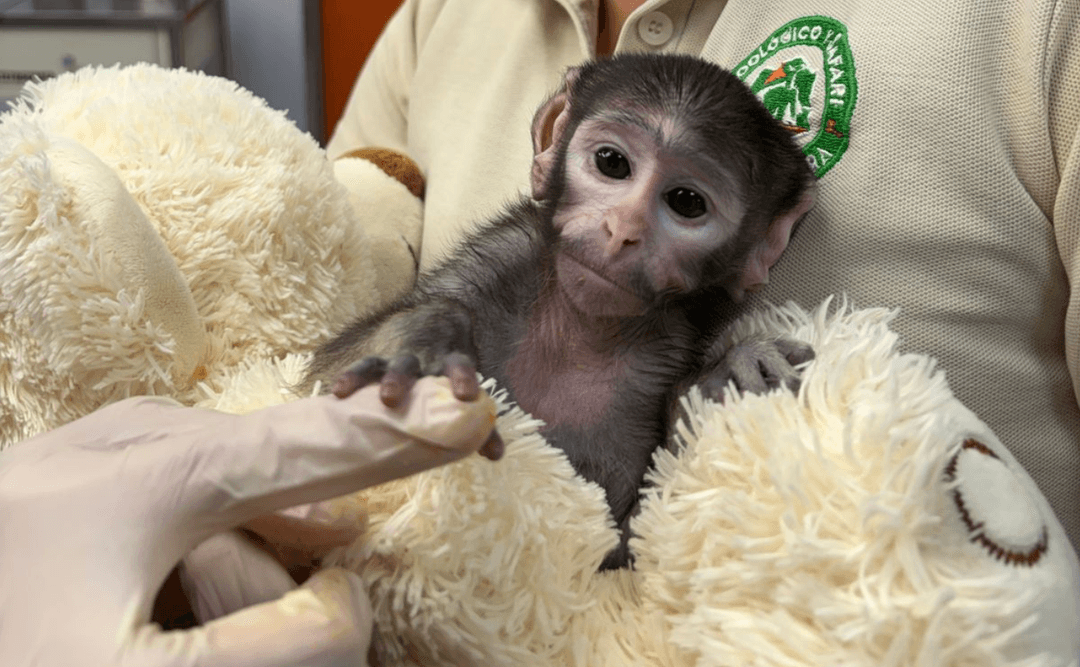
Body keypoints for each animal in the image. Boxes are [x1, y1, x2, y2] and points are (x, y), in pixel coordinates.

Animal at [306, 54, 817, 569]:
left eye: (687, 202)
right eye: (612, 163)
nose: (622, 228)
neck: (581, 331)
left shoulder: (666, 352)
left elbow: (622, 549)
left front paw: (721, 377)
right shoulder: (503, 255)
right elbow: (313, 379)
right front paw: (419, 348)